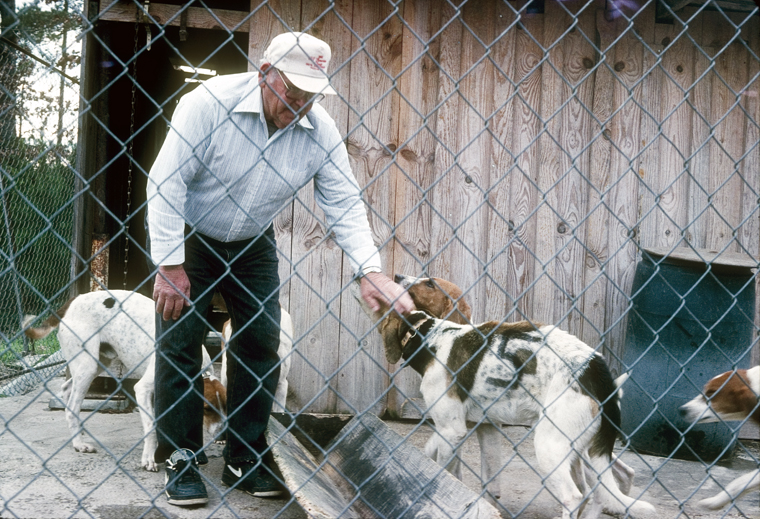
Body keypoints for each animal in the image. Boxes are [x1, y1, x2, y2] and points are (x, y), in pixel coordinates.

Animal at [24, 290, 229, 474]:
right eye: (207, 408)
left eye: (226, 407)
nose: (224, 435)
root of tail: (71, 303)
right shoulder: (143, 390)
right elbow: (151, 427)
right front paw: (149, 459)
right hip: (87, 367)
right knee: (71, 407)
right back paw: (79, 444)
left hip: (97, 364)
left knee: (67, 388)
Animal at [354, 276, 656, 519]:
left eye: (429, 283)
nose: (389, 276)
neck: (430, 335)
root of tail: (595, 368)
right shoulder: (479, 428)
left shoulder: (453, 430)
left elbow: (445, 471)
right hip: (583, 449)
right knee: (602, 489)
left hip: (551, 446)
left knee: (575, 496)